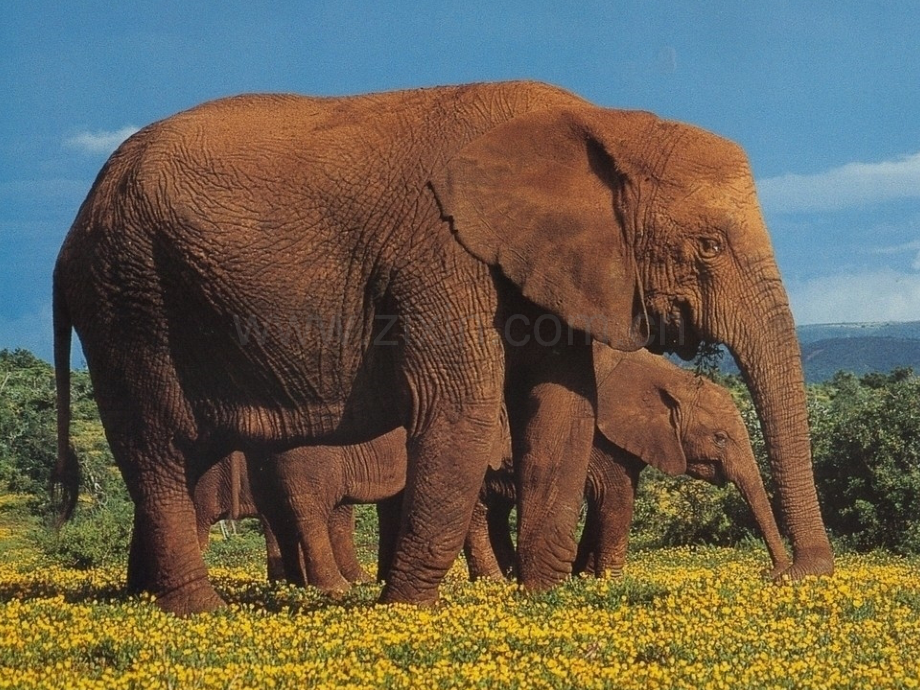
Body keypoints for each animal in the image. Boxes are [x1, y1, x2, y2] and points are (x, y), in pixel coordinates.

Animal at [463, 346, 791, 580]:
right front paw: (611, 584)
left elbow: (601, 503)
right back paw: (494, 584)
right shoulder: (601, 435)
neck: (674, 378)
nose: (773, 574)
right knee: (478, 512)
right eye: (720, 438)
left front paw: (586, 579)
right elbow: (614, 497)